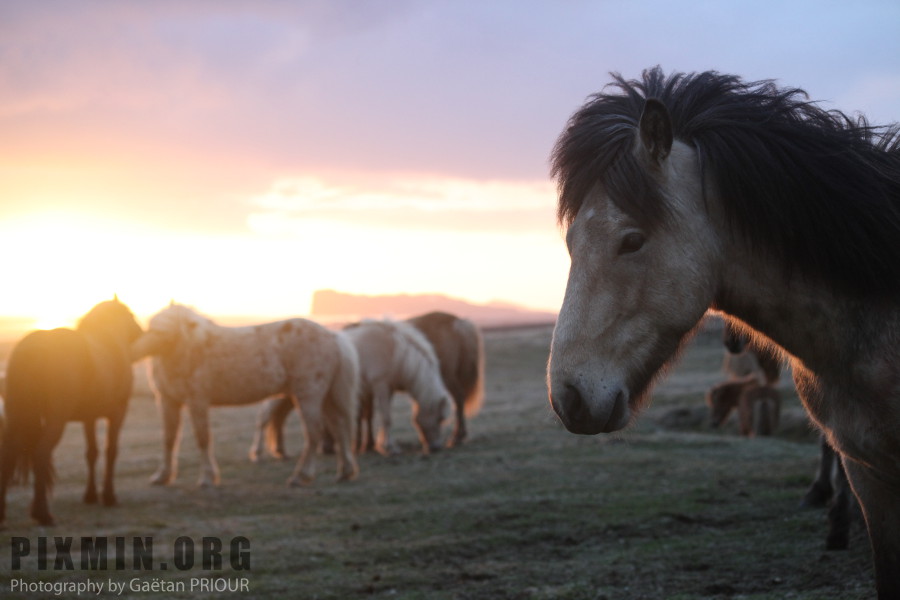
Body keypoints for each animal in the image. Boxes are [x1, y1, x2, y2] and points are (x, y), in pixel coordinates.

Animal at [0, 300, 142, 524]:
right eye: (130, 314)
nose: (141, 331)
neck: (110, 343)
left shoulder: (89, 418)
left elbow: (91, 453)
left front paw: (91, 496)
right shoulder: (118, 412)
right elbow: (111, 451)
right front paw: (109, 496)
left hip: (17, 417)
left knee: (7, 456)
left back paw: (3, 513)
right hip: (55, 421)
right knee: (41, 453)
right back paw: (42, 514)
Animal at [134, 304, 358, 488]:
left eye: (164, 331)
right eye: (150, 326)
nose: (137, 351)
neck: (189, 349)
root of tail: (332, 337)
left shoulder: (197, 401)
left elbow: (203, 438)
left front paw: (207, 478)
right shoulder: (168, 401)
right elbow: (169, 438)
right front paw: (162, 476)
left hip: (309, 395)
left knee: (314, 433)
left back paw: (300, 476)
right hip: (327, 397)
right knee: (339, 428)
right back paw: (344, 472)